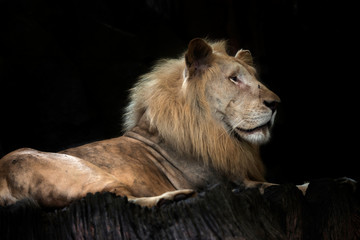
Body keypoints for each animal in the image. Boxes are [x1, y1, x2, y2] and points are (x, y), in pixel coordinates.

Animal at [0, 37, 306, 208]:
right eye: (234, 79)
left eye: (255, 79)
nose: (276, 103)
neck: (214, 130)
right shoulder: (223, 179)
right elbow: (276, 185)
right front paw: (301, 186)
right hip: (81, 171)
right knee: (117, 197)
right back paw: (174, 197)